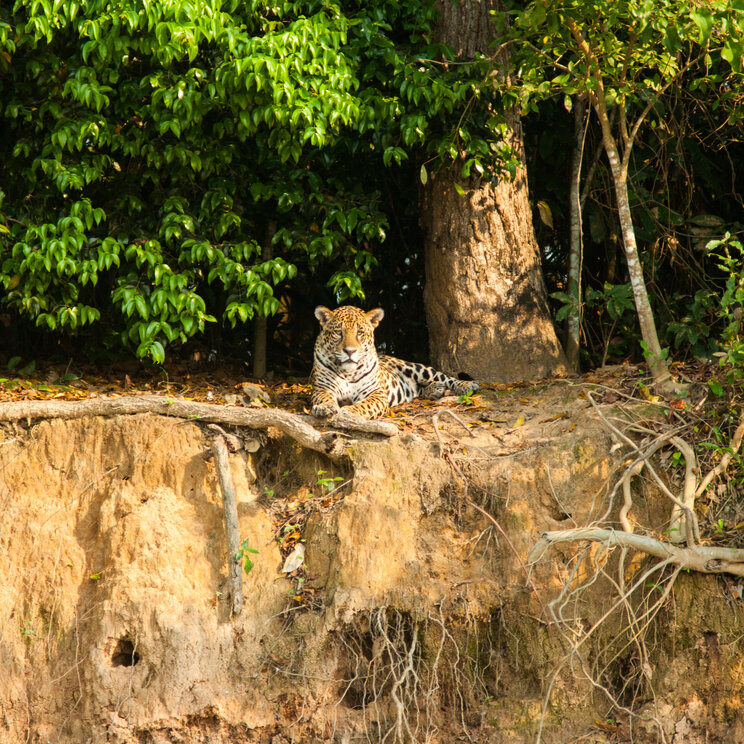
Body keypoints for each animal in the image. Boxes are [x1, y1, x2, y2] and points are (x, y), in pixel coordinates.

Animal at [310, 305, 479, 420]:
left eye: (360, 333)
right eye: (339, 333)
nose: (350, 351)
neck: (348, 372)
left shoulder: (376, 394)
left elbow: (363, 406)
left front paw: (348, 411)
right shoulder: (322, 389)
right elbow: (324, 398)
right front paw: (325, 407)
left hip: (415, 368)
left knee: (444, 377)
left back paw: (467, 385)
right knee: (419, 389)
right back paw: (435, 390)